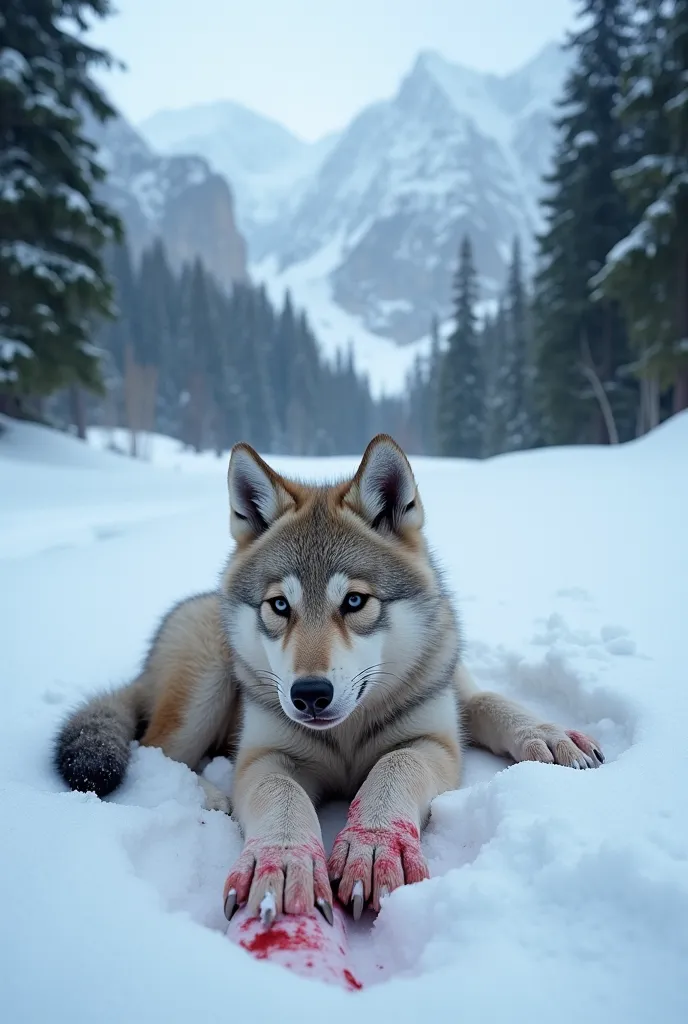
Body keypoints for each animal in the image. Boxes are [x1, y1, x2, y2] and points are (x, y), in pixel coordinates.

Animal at [52, 434, 602, 929]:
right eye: (279, 605)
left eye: (354, 601)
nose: (310, 695)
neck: (345, 737)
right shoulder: (265, 755)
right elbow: (282, 796)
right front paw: (283, 861)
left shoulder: (437, 729)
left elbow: (425, 746)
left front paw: (375, 844)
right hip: (206, 685)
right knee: (155, 751)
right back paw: (208, 798)